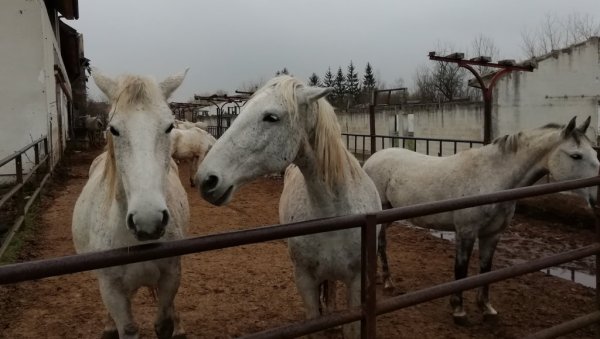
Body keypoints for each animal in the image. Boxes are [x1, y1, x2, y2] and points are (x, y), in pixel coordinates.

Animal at [73, 69, 190, 339]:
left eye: (169, 126)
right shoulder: (111, 289)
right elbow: (127, 328)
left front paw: (174, 326)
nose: (148, 221)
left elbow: (163, 323)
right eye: (113, 129)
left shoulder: (171, 276)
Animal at [199, 75, 382, 338]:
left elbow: (351, 328)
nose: (206, 179)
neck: (334, 211)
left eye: (271, 117)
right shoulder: (304, 280)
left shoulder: (358, 282)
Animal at [364, 118, 596, 326]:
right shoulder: (466, 232)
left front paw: (486, 309)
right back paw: (386, 282)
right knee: (381, 243)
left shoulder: (492, 234)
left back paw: (383, 279)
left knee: (380, 244)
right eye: (576, 155)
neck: (492, 177)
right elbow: (461, 269)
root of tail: (371, 159)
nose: (597, 198)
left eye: (595, 152)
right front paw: (459, 311)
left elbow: (485, 269)